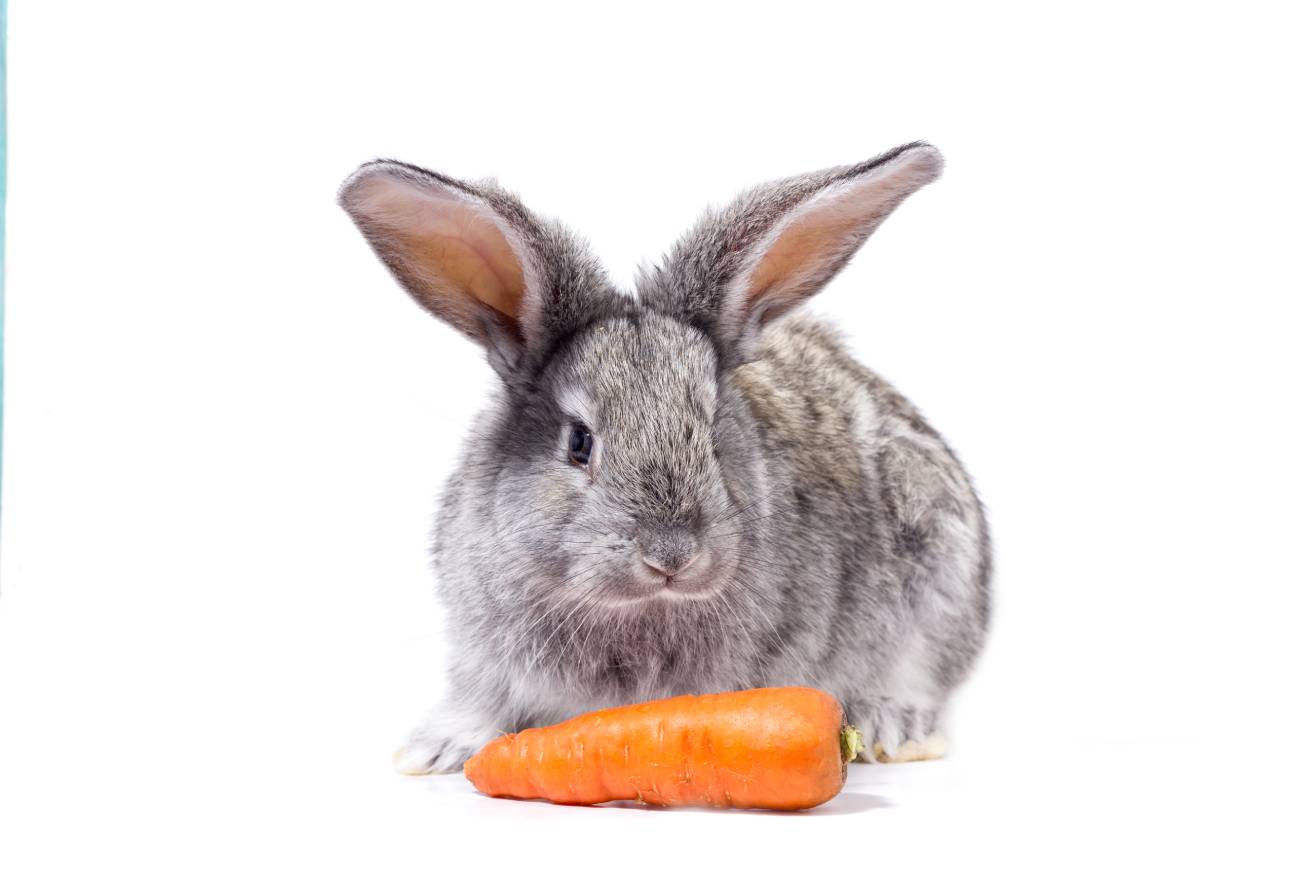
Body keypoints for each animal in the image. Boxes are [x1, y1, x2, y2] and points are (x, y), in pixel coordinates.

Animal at [338, 142, 990, 774]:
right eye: (579, 442)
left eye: (714, 435)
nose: (671, 555)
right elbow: (480, 700)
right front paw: (437, 750)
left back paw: (891, 728)